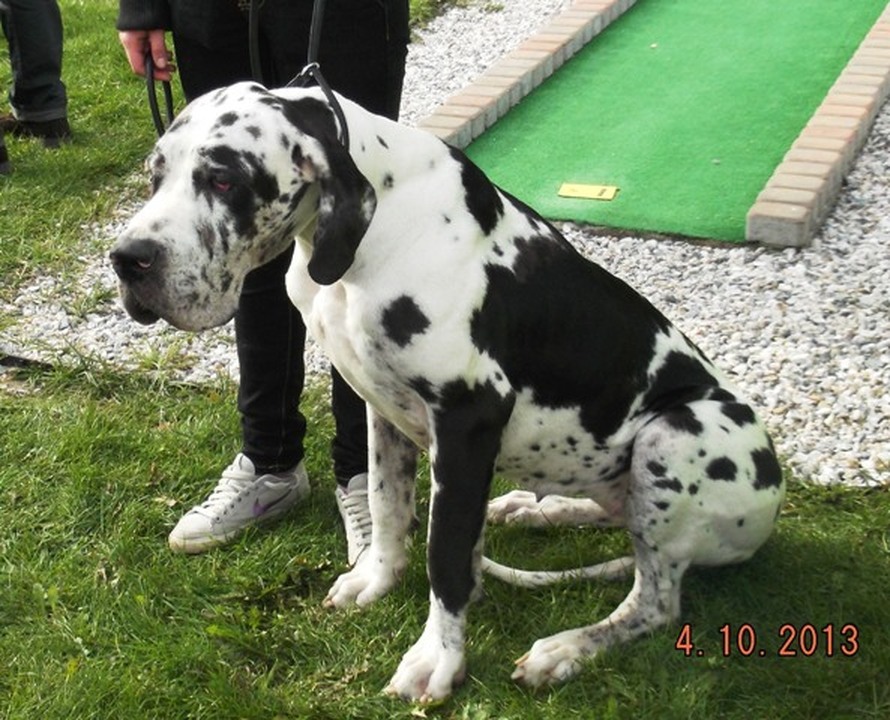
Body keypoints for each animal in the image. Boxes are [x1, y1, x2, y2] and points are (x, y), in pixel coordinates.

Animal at [110, 82, 785, 702]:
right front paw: (377, 580)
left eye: (224, 181)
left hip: (676, 433)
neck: (373, 232)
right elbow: (388, 505)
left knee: (656, 601)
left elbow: (446, 553)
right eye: (156, 172)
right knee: (614, 519)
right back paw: (536, 508)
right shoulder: (381, 405)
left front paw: (437, 658)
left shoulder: (467, 419)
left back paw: (566, 648)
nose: (128, 259)